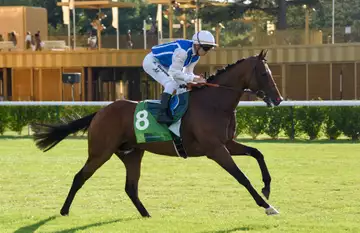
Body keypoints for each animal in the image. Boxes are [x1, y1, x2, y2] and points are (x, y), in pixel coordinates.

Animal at [31, 49, 284, 218]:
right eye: (264, 74)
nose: (279, 99)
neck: (213, 103)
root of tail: (100, 112)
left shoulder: (227, 143)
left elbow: (257, 152)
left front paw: (267, 188)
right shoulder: (215, 149)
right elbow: (241, 176)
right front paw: (267, 206)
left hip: (132, 153)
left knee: (130, 187)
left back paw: (146, 214)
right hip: (100, 152)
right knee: (79, 177)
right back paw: (64, 211)